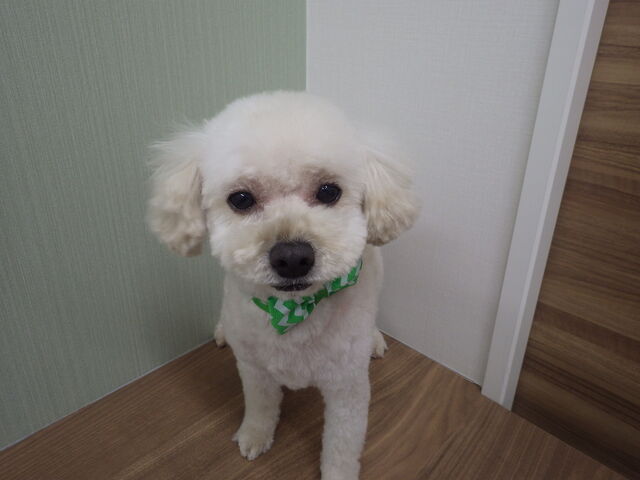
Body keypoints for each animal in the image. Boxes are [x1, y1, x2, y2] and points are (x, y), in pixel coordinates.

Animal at [147, 91, 418, 479]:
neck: (293, 311)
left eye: (329, 191)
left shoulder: (347, 387)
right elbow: (260, 407)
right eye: (240, 199)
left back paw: (375, 340)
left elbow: (342, 443)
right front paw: (254, 436)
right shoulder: (253, 370)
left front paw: (337, 473)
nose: (292, 257)